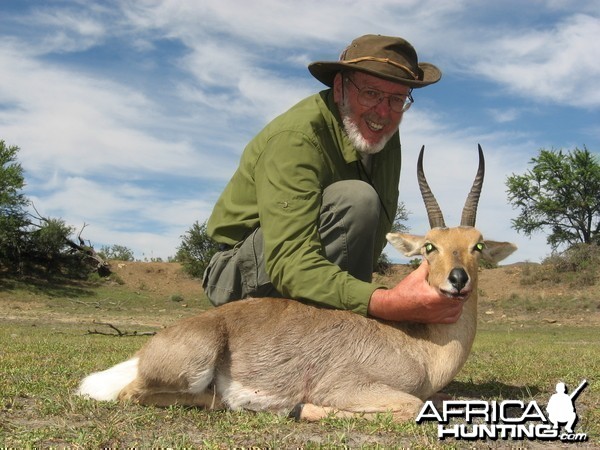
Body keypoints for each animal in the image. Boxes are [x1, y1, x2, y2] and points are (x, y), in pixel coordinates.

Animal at [76, 145, 516, 422]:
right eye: (429, 246)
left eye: (476, 245)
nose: (457, 280)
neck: (421, 348)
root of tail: (147, 349)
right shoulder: (348, 387)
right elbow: (412, 407)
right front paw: (302, 408)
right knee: (134, 395)